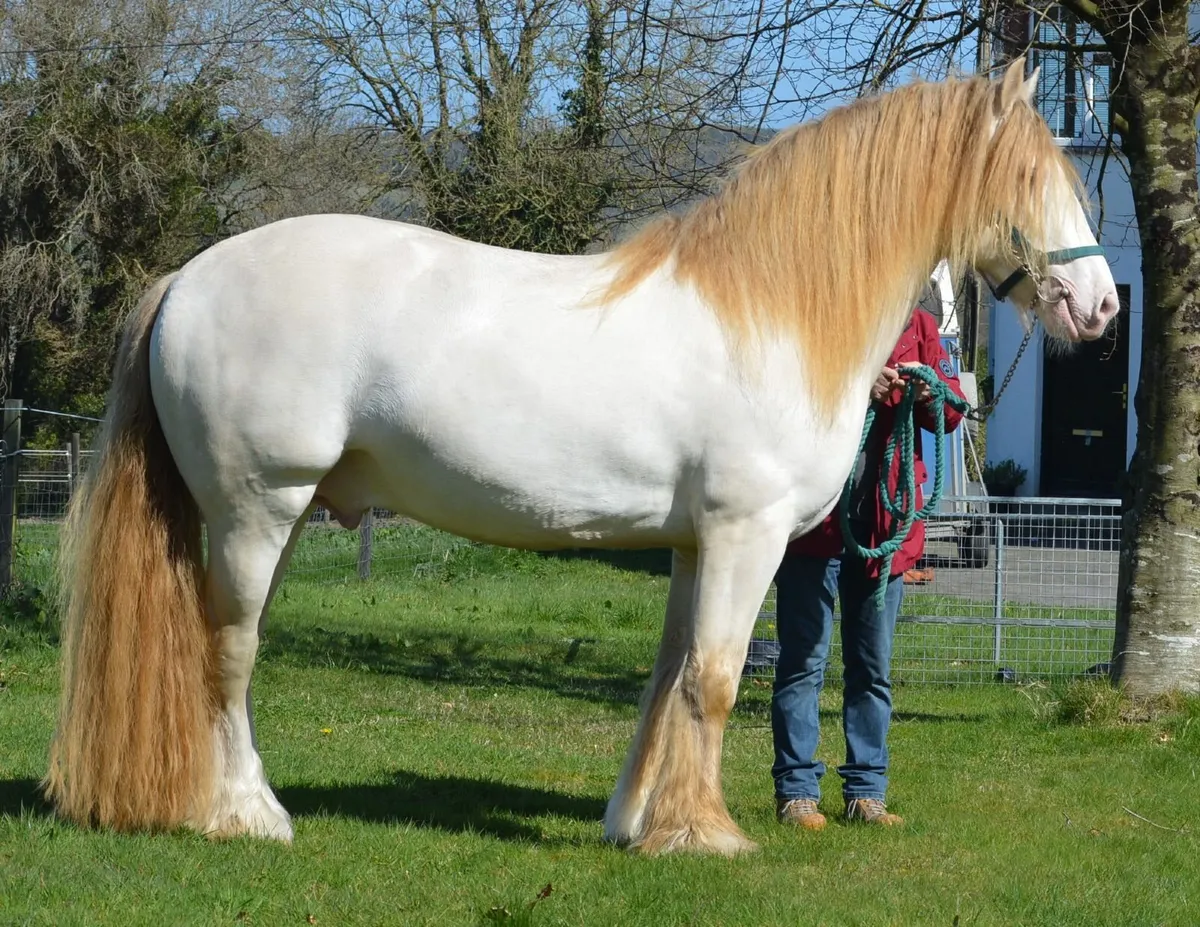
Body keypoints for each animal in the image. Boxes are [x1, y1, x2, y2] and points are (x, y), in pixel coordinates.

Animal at [44, 58, 1119, 856]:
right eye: (1031, 181)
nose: (1102, 307)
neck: (770, 315)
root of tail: (189, 276)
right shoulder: (746, 538)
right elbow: (715, 679)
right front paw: (707, 836)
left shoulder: (692, 545)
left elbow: (668, 677)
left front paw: (637, 822)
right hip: (258, 509)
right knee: (228, 652)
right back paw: (248, 814)